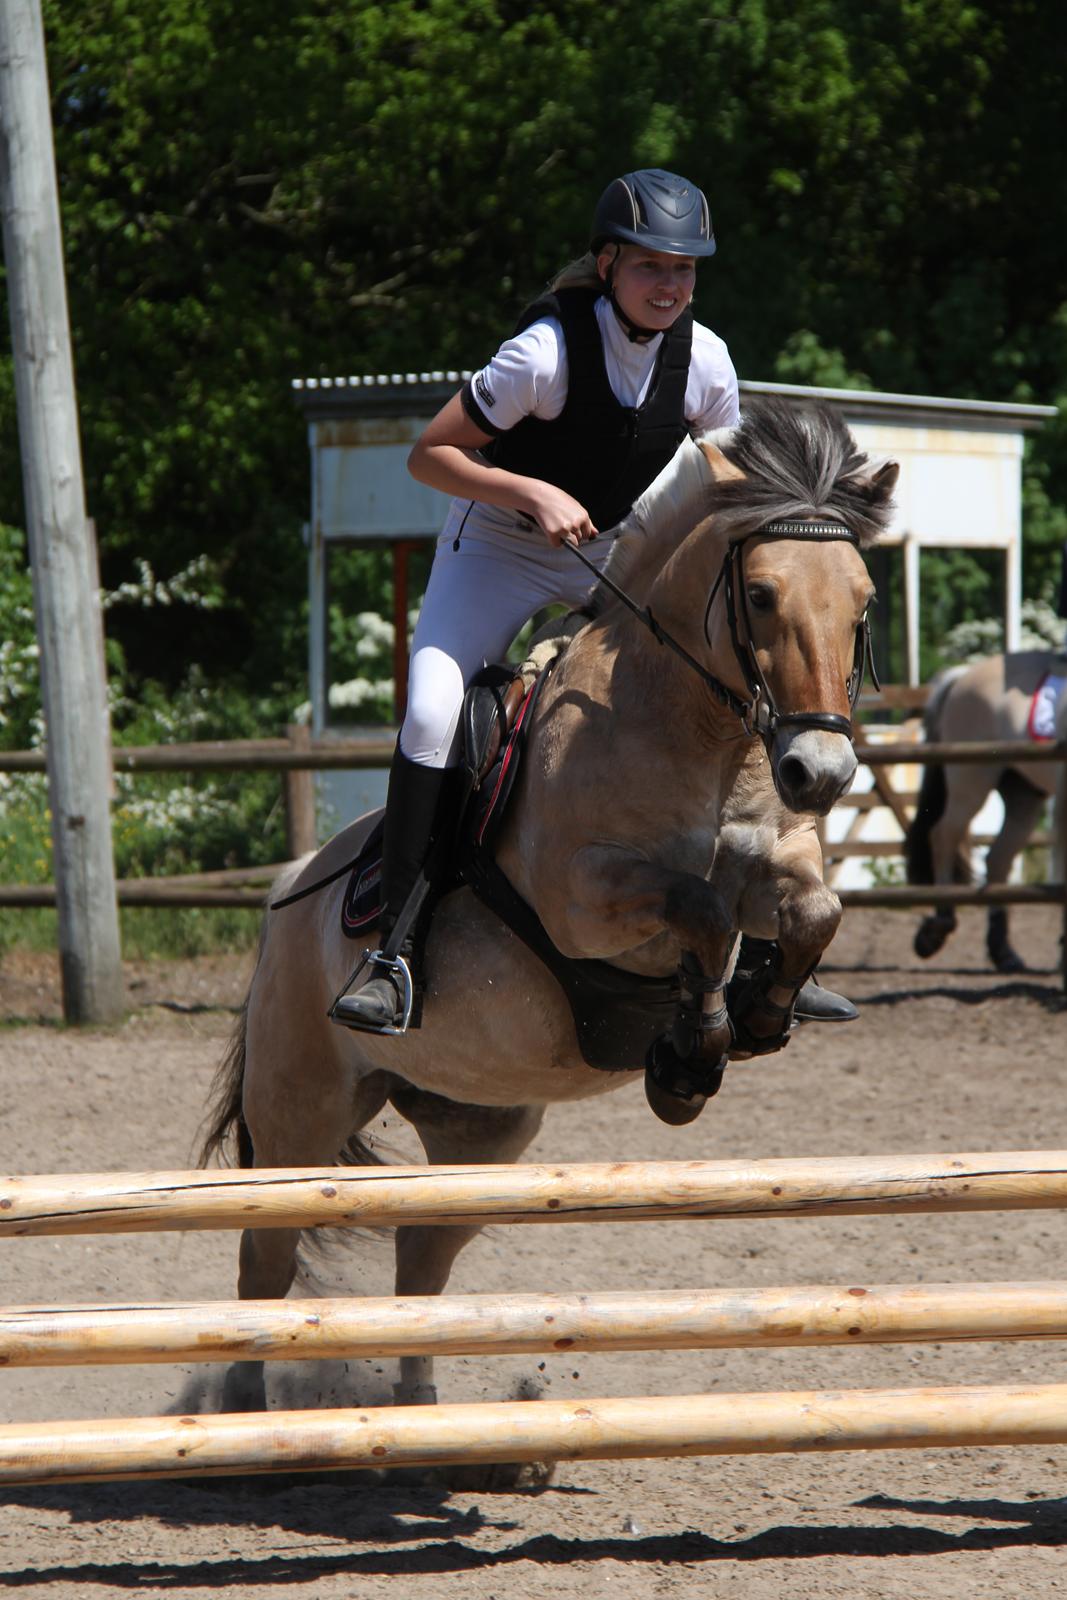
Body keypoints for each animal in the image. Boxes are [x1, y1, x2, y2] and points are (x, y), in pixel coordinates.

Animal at [202, 400, 902, 1414]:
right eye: (761, 595)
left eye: (861, 602)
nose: (820, 772)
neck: (700, 737)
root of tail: (287, 894)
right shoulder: (585, 897)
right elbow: (698, 908)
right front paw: (689, 1056)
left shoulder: (778, 859)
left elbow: (810, 912)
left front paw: (763, 1011)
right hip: (301, 1111)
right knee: (265, 1260)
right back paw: (248, 1415)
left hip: (478, 1126)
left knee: (421, 1254)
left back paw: (418, 1415)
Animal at [908, 643, 1062, 966]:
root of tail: (963, 674)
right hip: (971, 779)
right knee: (943, 836)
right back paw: (940, 924)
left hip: (1023, 795)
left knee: (997, 859)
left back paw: (1002, 950)